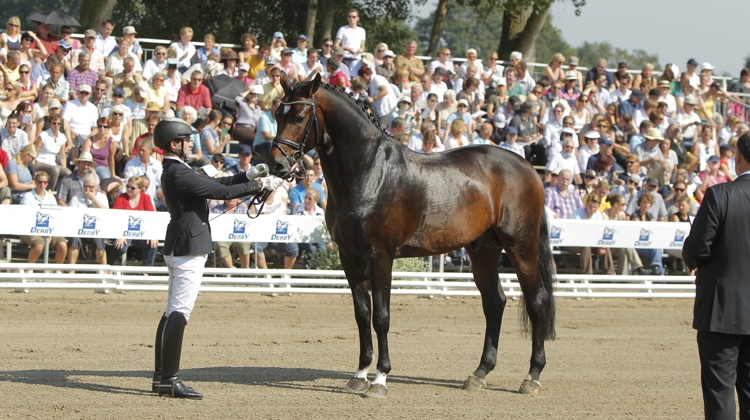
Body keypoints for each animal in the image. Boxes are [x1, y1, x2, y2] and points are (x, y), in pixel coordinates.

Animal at [270, 73, 560, 398]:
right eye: (276, 114)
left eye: (298, 116)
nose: (277, 164)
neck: (370, 170)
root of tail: (529, 169)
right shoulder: (350, 257)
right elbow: (362, 314)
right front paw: (360, 374)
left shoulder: (380, 255)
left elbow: (381, 316)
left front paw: (380, 379)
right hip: (483, 250)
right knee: (494, 303)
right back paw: (480, 373)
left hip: (521, 247)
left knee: (537, 301)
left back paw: (532, 376)